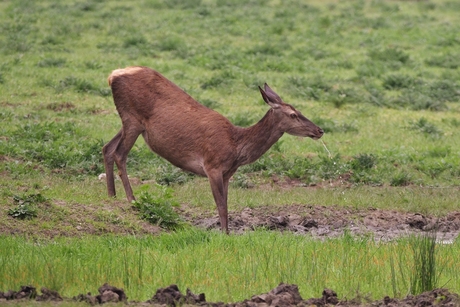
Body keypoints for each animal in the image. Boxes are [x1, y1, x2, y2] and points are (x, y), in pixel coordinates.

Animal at [101, 67, 324, 233]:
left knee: (107, 147)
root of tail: (112, 75)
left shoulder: (227, 174)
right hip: (132, 117)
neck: (236, 148)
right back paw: (132, 199)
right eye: (293, 114)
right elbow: (221, 206)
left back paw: (111, 196)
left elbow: (226, 204)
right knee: (120, 153)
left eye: (299, 110)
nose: (319, 130)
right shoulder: (212, 166)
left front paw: (227, 233)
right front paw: (224, 234)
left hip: (130, 123)